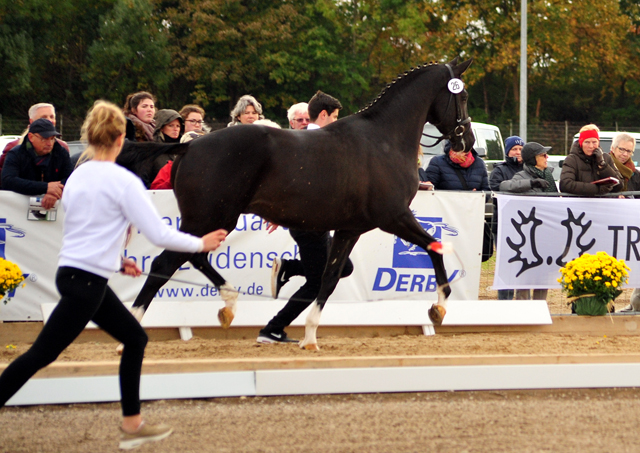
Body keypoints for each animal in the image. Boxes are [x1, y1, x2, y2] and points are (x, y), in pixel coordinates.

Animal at [117, 55, 472, 346]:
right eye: (464, 96)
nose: (466, 142)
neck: (384, 139)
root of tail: (188, 146)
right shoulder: (394, 217)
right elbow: (436, 247)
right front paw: (438, 307)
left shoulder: (350, 229)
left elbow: (328, 277)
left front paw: (310, 336)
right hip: (210, 218)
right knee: (165, 264)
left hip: (211, 220)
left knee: (192, 257)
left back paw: (232, 303)